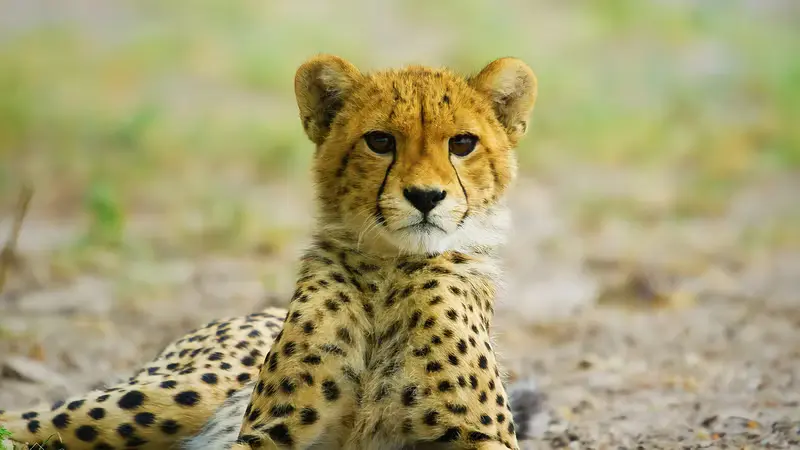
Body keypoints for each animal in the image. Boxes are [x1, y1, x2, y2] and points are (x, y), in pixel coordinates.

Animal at [0, 53, 540, 450]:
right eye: (380, 141)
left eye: (463, 143)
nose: (425, 197)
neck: (390, 270)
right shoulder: (270, 433)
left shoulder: (479, 437)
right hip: (173, 397)